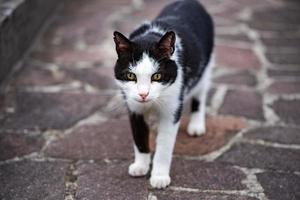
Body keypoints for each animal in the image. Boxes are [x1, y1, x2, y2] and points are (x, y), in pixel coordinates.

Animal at [112, 0, 213, 189]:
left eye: (157, 76)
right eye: (130, 76)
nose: (143, 94)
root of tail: (191, 2)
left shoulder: (173, 106)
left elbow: (165, 144)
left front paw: (159, 176)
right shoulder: (133, 107)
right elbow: (139, 136)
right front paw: (141, 165)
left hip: (205, 67)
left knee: (200, 93)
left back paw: (196, 125)